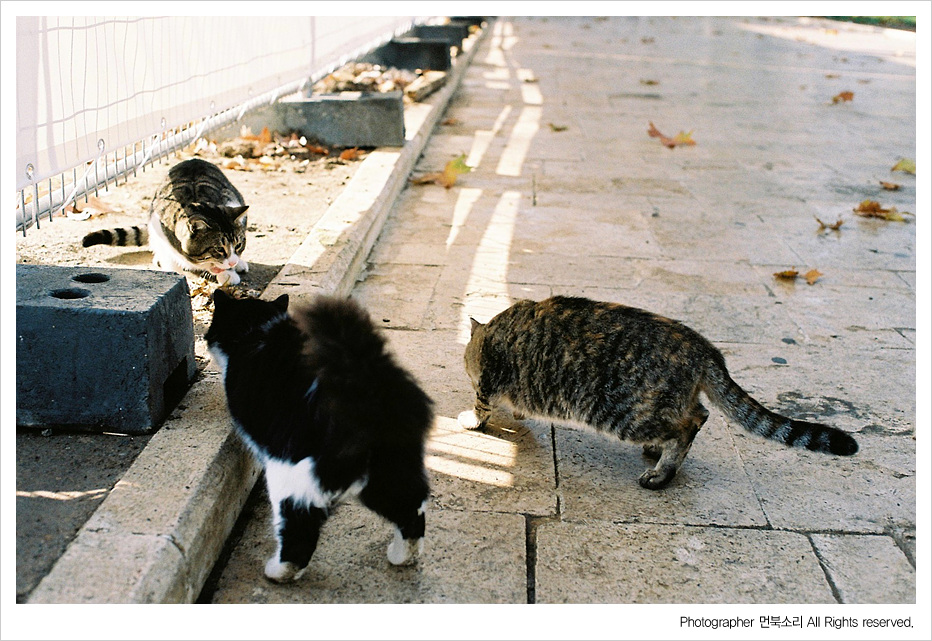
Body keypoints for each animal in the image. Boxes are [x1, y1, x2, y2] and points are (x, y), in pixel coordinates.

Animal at [82, 158, 249, 286]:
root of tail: (193, 159)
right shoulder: (158, 225)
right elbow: (169, 258)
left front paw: (229, 272)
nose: (232, 262)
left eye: (239, 245)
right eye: (219, 249)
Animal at [206, 289, 433, 583]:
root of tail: (365, 389)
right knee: (411, 511)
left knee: (299, 534)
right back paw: (402, 557)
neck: (256, 328)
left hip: (290, 476)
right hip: (389, 471)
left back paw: (278, 573)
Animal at [458, 296, 858, 490]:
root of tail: (703, 348)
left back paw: (663, 472)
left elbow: (481, 406)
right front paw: (517, 412)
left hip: (623, 411)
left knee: (692, 422)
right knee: (694, 415)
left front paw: (475, 420)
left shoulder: (488, 380)